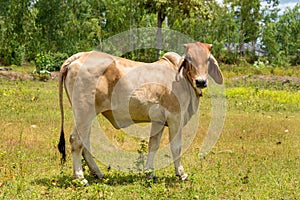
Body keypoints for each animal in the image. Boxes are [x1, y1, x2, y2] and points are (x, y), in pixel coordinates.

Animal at [58, 41, 223, 184]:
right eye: (189, 59)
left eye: (208, 59)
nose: (201, 82)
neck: (183, 79)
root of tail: (79, 56)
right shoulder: (175, 117)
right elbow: (176, 146)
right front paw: (181, 173)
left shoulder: (158, 121)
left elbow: (153, 145)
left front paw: (149, 172)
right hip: (84, 113)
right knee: (76, 140)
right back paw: (80, 177)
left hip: (86, 116)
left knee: (85, 142)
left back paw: (97, 173)